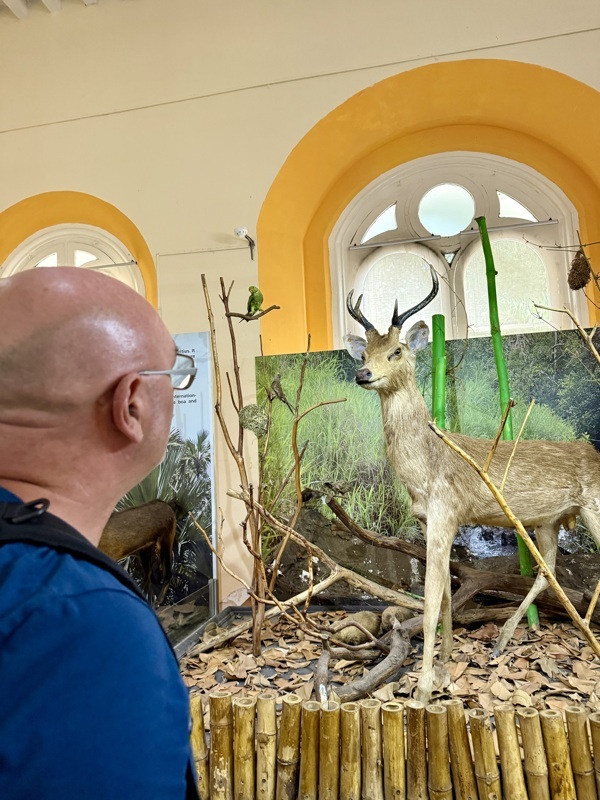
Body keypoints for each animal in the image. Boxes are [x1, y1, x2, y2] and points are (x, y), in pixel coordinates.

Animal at [345, 266, 600, 703]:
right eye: (363, 354)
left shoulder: (446, 511)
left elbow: (431, 600)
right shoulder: (429, 520)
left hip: (593, 506)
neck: (424, 470)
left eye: (396, 351)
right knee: (547, 570)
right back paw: (501, 642)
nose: (363, 374)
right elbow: (448, 593)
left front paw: (423, 689)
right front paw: (446, 663)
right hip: (548, 522)